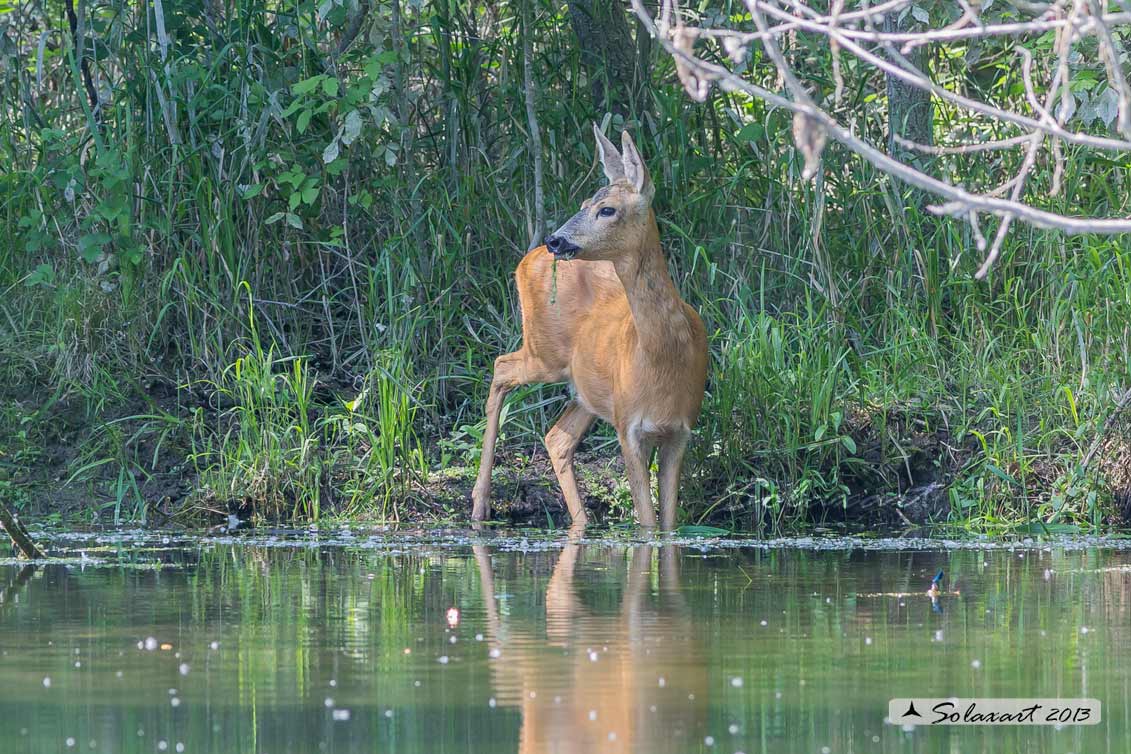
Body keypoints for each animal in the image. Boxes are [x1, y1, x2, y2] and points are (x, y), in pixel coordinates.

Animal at [470, 125, 705, 531]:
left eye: (606, 208)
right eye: (583, 203)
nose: (556, 240)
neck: (663, 356)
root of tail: (526, 260)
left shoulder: (680, 430)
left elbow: (667, 524)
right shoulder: (628, 425)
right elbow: (647, 523)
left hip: (584, 389)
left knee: (557, 437)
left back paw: (581, 523)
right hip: (544, 352)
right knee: (501, 367)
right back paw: (479, 504)